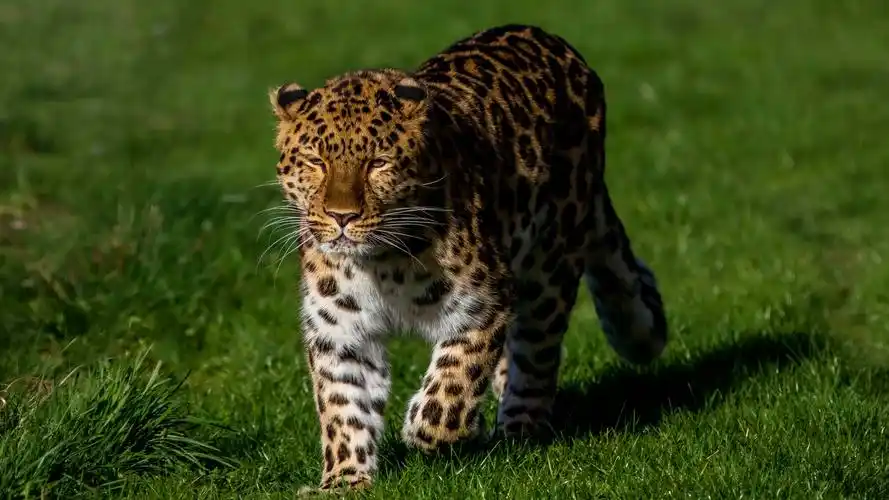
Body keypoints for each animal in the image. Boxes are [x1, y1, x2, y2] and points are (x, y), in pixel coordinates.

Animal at [267, 24, 668, 495]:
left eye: (377, 164)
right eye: (315, 161)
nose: (341, 216)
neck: (379, 264)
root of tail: (551, 40)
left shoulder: (484, 302)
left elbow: (453, 383)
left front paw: (430, 426)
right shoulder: (340, 330)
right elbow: (343, 406)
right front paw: (345, 480)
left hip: (550, 264)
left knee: (537, 352)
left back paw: (519, 428)